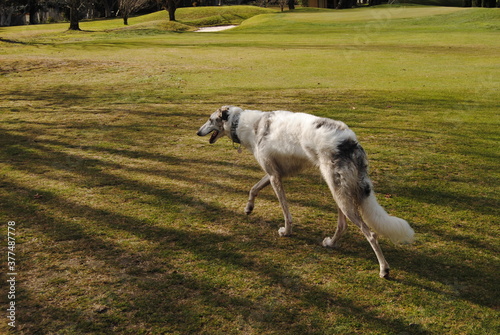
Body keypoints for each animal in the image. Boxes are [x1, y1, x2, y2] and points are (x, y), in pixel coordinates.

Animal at [196, 105, 414, 278]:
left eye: (210, 119)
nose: (197, 132)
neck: (246, 124)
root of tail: (351, 141)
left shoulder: (275, 178)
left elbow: (286, 213)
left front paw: (286, 232)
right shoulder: (274, 173)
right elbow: (253, 188)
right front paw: (249, 208)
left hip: (340, 194)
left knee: (371, 235)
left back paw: (384, 269)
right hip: (338, 193)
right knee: (343, 226)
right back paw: (331, 243)